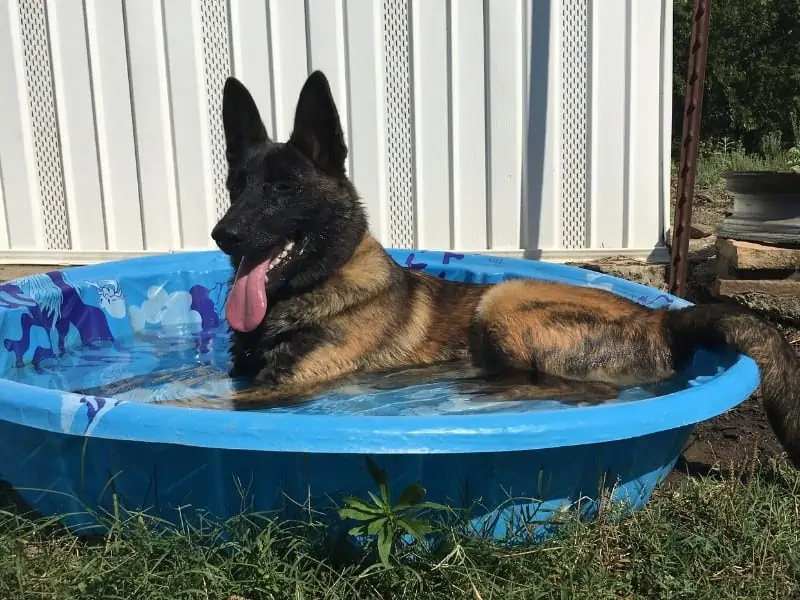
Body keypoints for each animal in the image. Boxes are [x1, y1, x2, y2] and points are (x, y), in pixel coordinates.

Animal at [205, 69, 800, 464]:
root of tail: (663, 318)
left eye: (282, 189)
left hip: (503, 299)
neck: (318, 283)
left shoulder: (294, 386)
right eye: (237, 186)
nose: (222, 235)